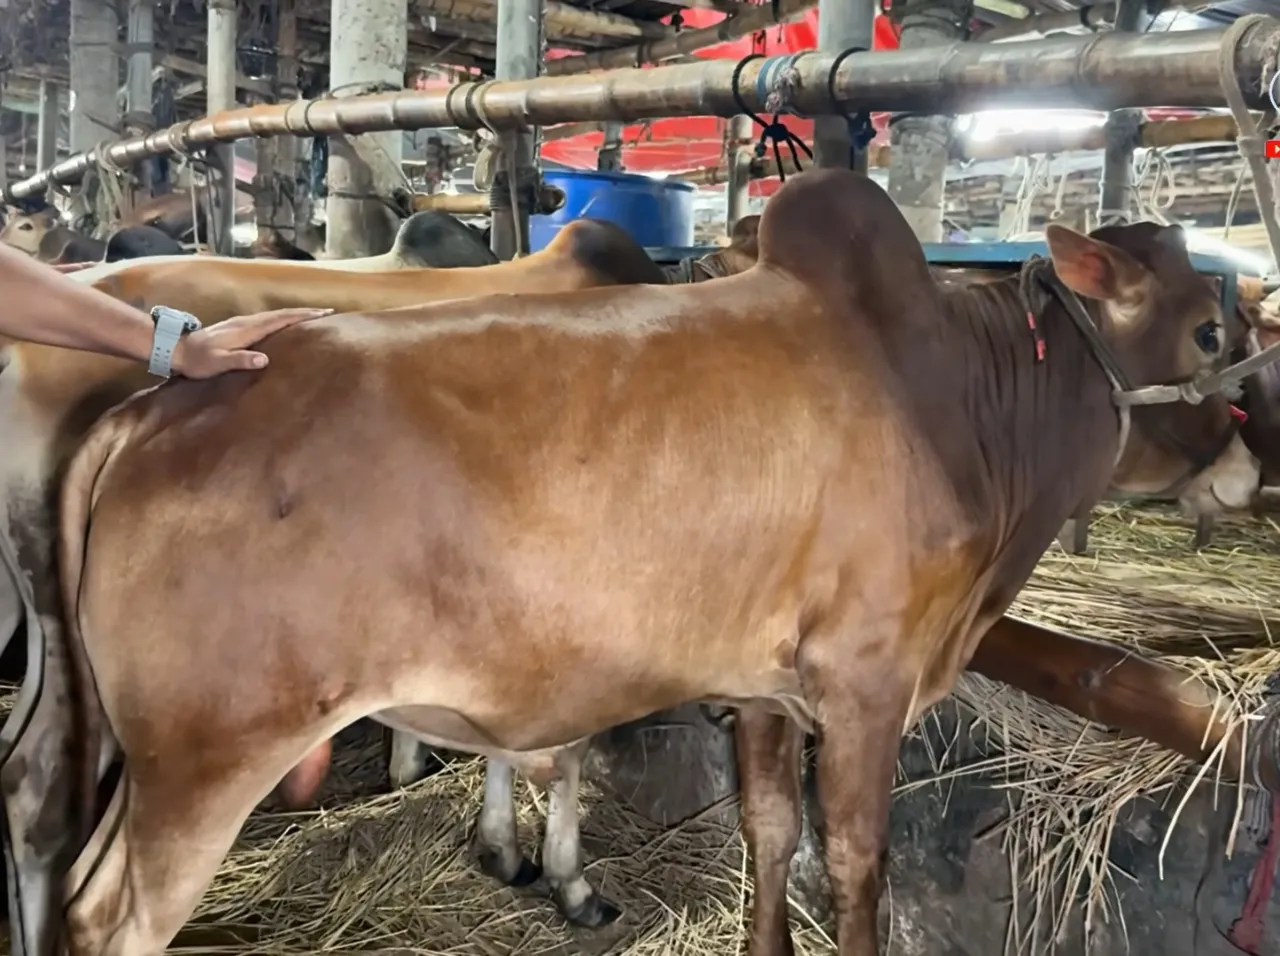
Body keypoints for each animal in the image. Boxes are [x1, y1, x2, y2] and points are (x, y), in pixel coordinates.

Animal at [25, 168, 1267, 956]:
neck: (960, 406)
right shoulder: (865, 687)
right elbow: (853, 862)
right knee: (104, 917)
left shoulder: (766, 690)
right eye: (1210, 330)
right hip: (200, 766)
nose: (1245, 468)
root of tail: (152, 409)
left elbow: (770, 833)